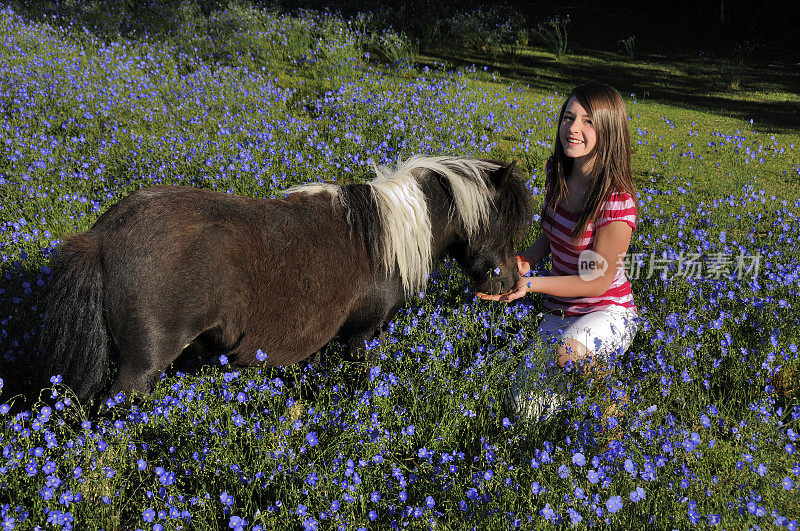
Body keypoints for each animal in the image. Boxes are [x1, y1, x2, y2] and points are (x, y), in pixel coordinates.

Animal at [40, 156, 536, 406]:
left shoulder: (319, 343)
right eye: (505, 222)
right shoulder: (362, 336)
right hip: (142, 368)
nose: (511, 282)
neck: (388, 235)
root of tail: (104, 234)